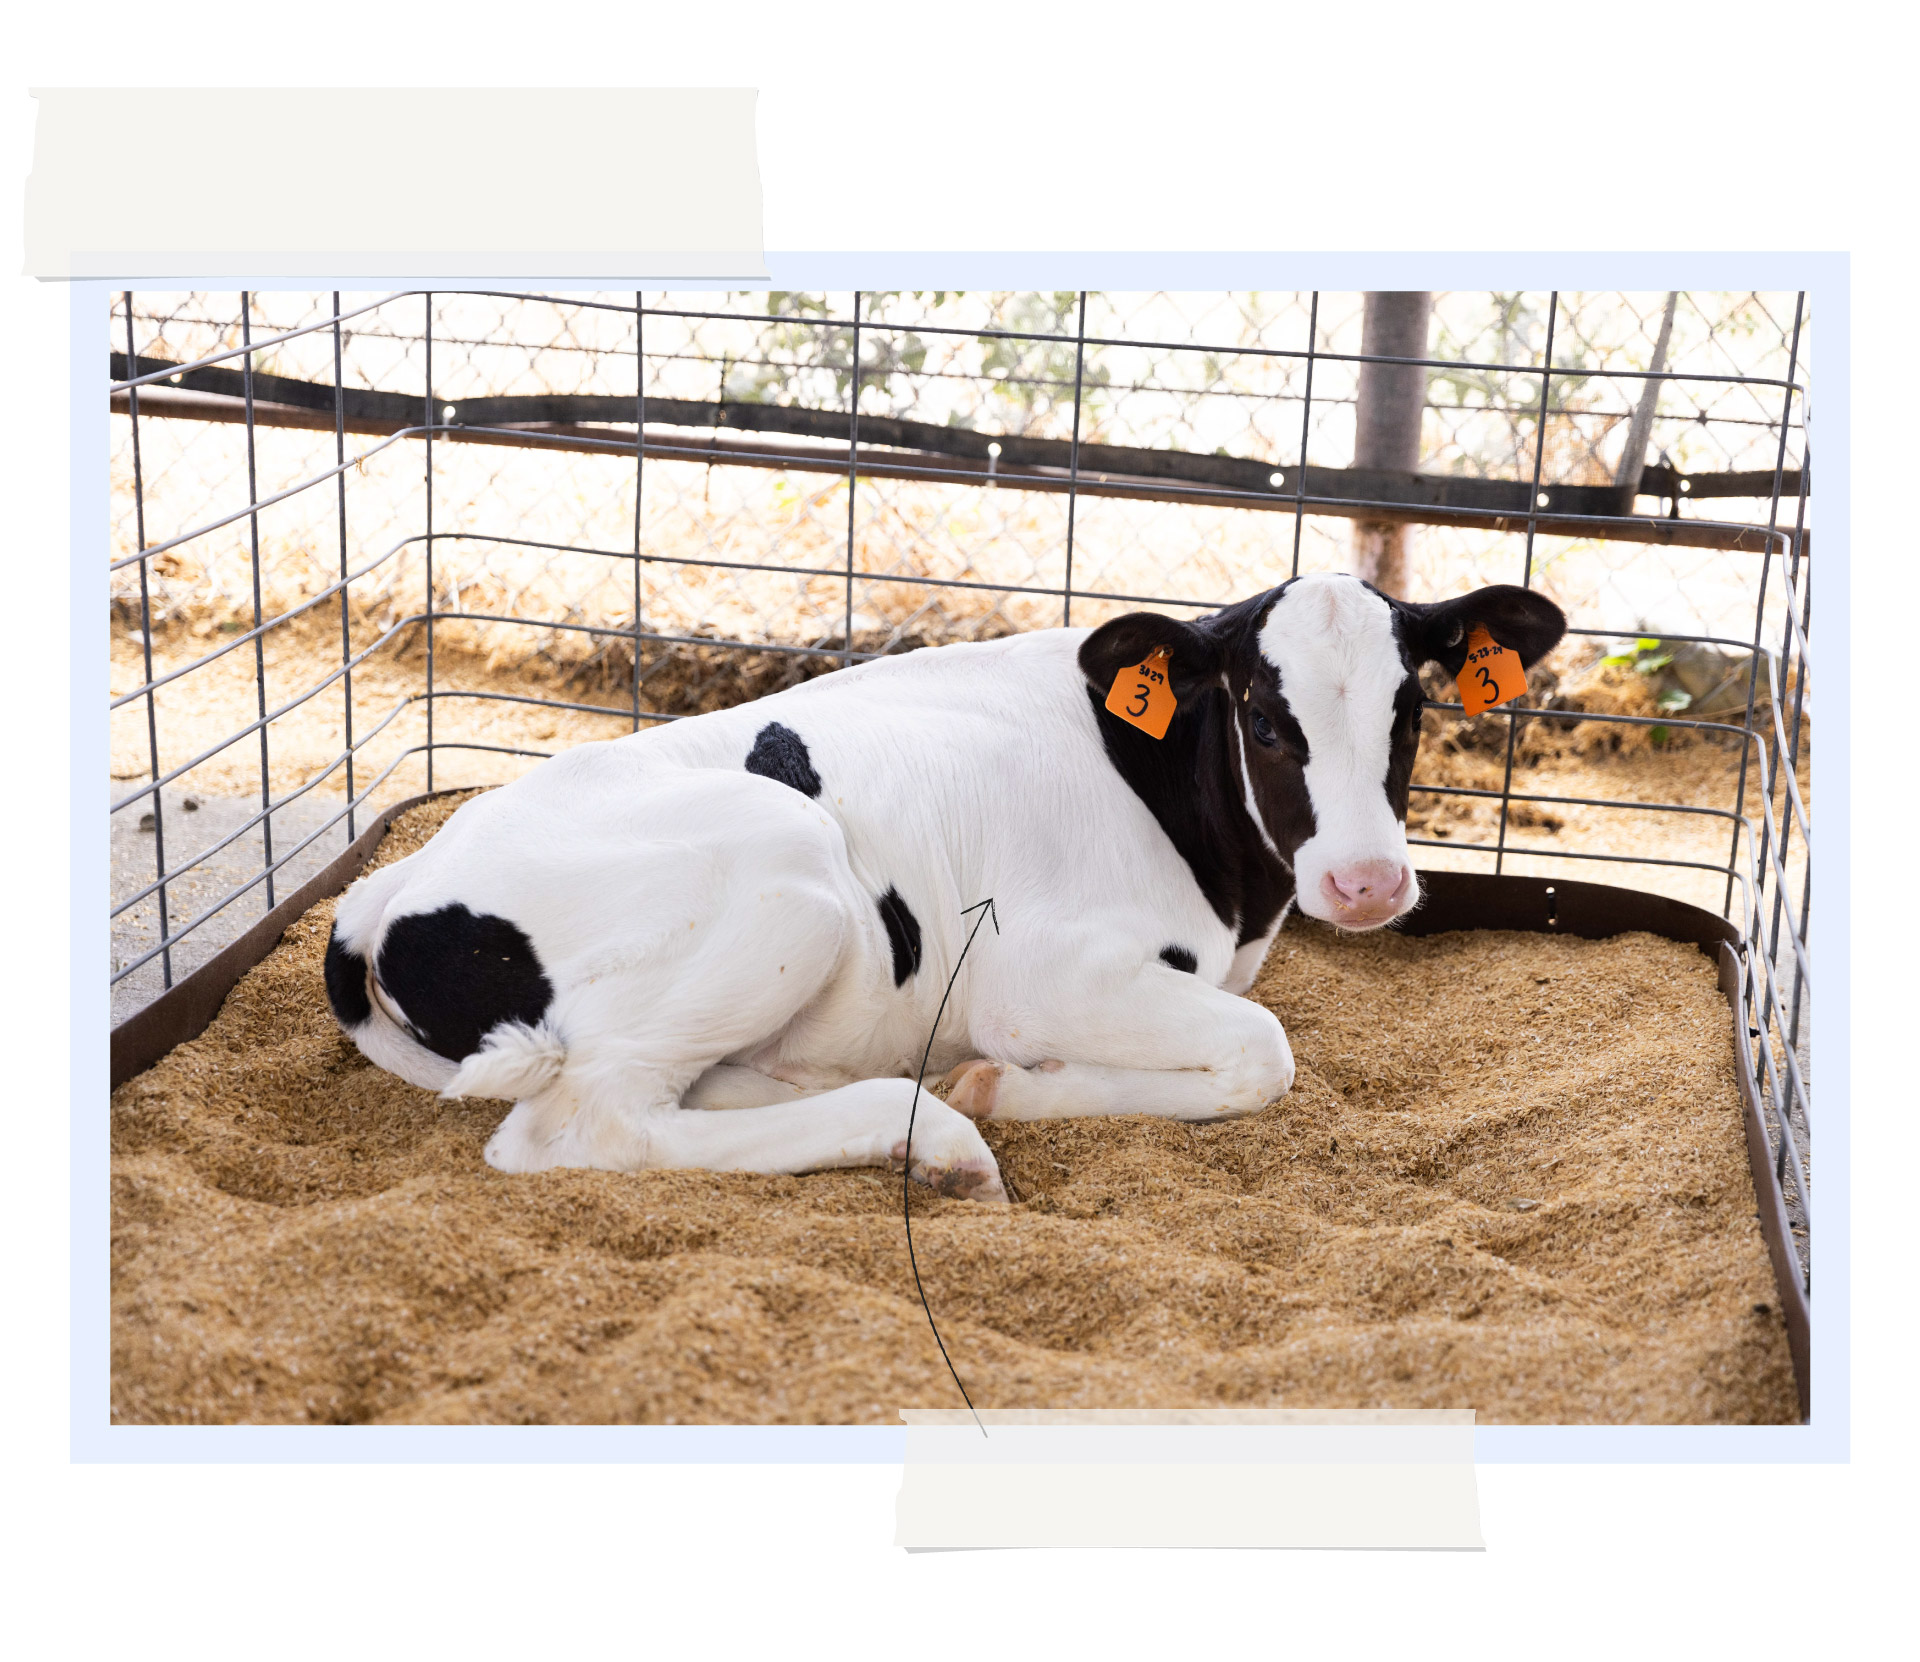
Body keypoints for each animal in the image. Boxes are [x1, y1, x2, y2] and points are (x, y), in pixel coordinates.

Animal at [324, 572, 1565, 1201]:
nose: (1367, 882)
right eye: (1264, 715)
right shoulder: (1043, 974)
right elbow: (1263, 1052)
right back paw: (932, 1135)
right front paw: (1002, 1088)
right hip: (791, 875)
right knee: (587, 1125)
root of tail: (390, 889)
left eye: (1412, 709)